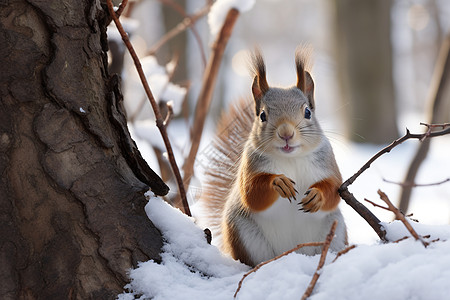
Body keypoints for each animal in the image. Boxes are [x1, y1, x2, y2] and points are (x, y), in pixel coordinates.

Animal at [200, 48, 348, 266]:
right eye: (262, 115)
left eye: (307, 112)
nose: (286, 133)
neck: (290, 158)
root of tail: (290, 253)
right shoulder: (250, 164)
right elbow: (251, 194)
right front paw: (279, 182)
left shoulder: (327, 162)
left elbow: (334, 190)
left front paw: (317, 195)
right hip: (244, 234)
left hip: (335, 229)